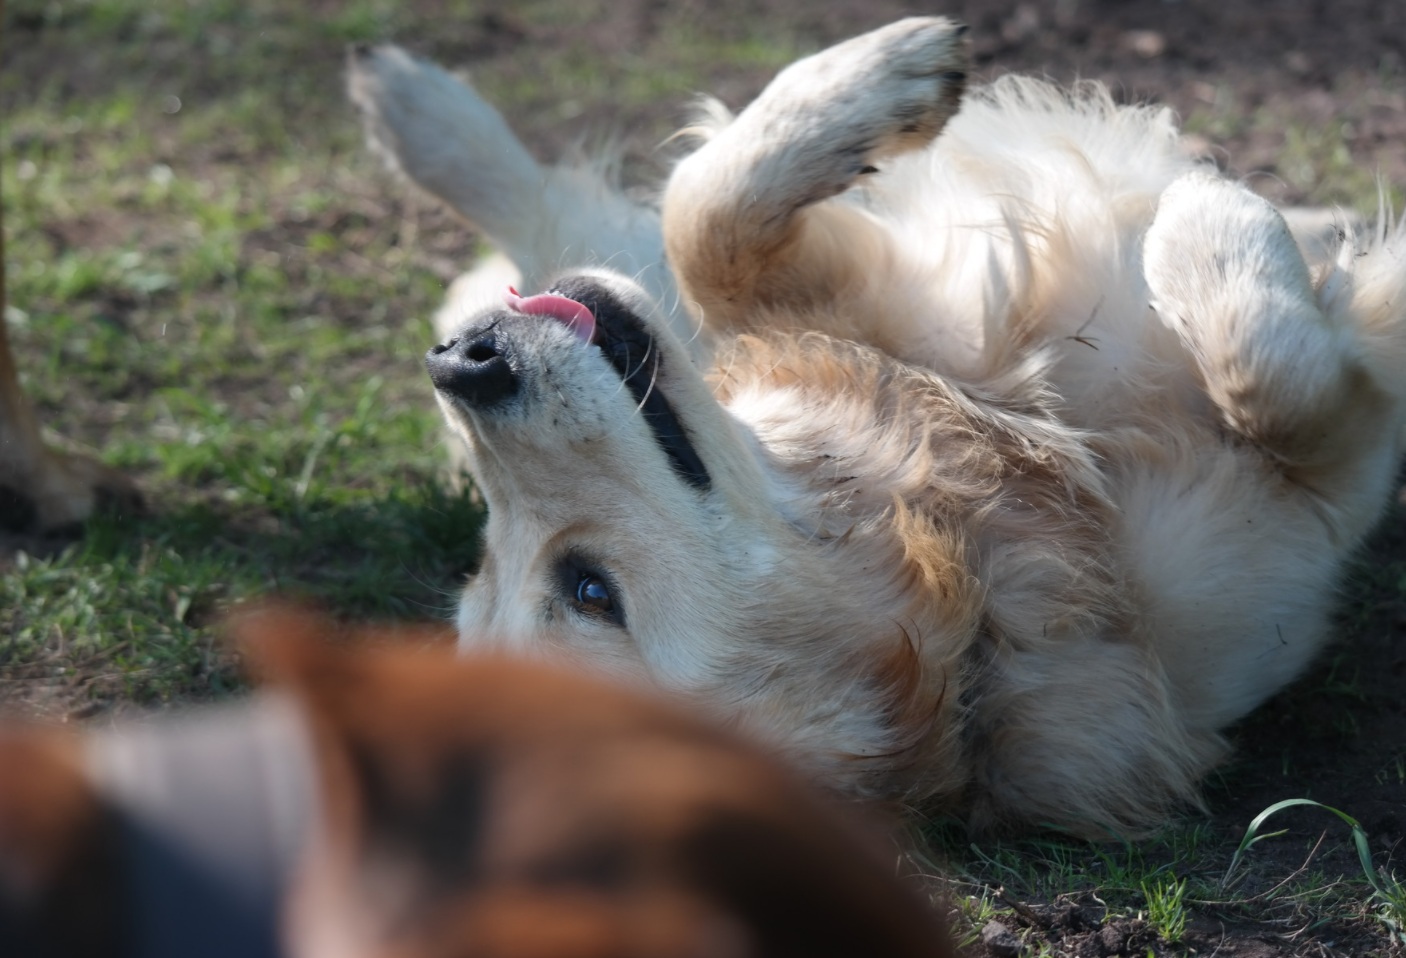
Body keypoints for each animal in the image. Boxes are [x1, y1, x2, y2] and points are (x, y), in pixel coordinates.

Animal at [343, 18, 1406, 832]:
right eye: (591, 587)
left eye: (505, 560)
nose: (464, 363)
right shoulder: (1291, 532)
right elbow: (1283, 388)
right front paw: (1210, 231)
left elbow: (708, 220)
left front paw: (875, 75)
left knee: (585, 218)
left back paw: (411, 103)